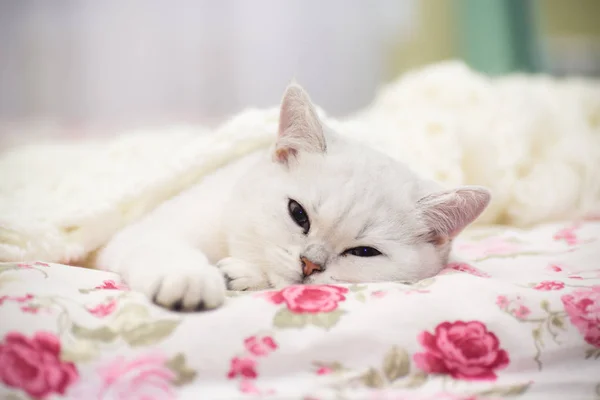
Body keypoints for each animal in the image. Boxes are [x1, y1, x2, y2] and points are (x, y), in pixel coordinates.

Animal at [98, 83, 490, 310]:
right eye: (298, 214)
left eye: (364, 252)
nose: (310, 264)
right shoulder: (139, 233)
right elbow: (165, 248)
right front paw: (189, 280)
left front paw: (238, 275)